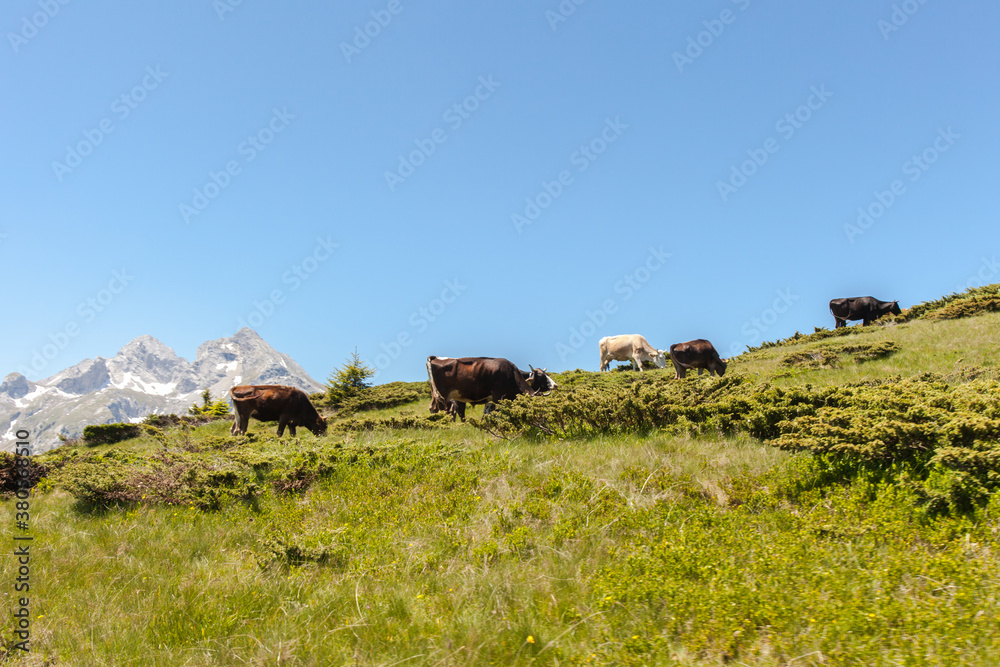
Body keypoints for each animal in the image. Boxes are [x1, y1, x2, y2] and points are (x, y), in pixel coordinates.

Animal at [426, 356, 557, 422]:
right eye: (541, 376)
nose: (555, 385)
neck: (511, 374)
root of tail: (434, 358)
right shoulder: (498, 397)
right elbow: (497, 413)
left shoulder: (490, 400)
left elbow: (487, 413)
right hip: (443, 396)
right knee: (444, 410)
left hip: (436, 394)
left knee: (435, 408)